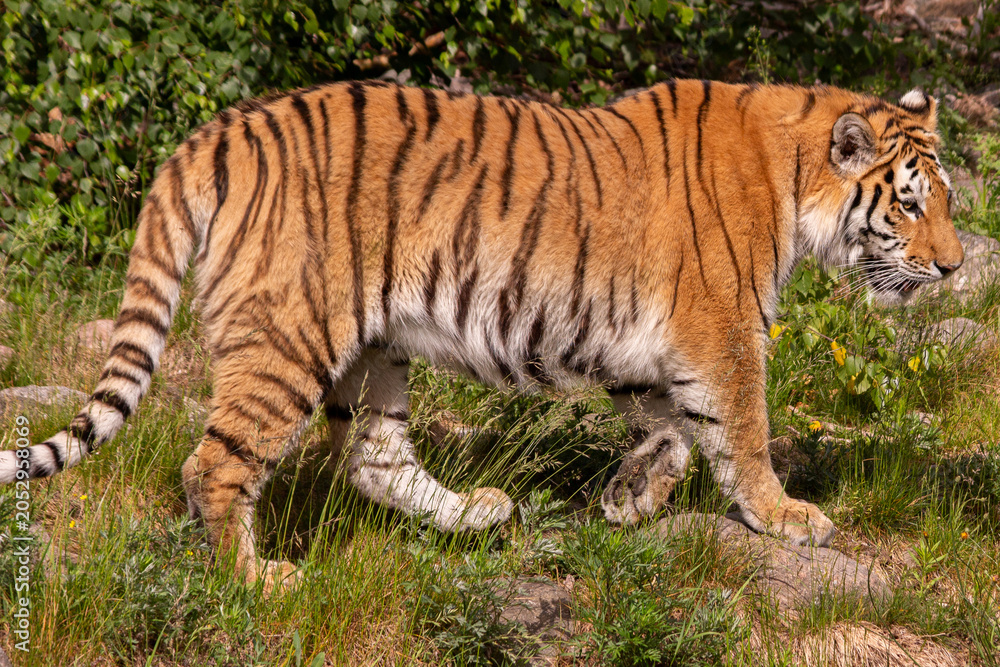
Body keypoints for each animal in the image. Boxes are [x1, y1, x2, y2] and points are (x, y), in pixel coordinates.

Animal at [0, 78, 963, 590]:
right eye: (912, 203)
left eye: (949, 200)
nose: (957, 268)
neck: (797, 179)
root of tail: (214, 134)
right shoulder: (720, 328)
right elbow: (744, 431)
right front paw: (788, 517)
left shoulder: (642, 338)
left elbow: (673, 430)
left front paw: (631, 497)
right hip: (289, 336)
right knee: (216, 463)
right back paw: (261, 580)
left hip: (375, 346)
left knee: (374, 457)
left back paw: (478, 513)